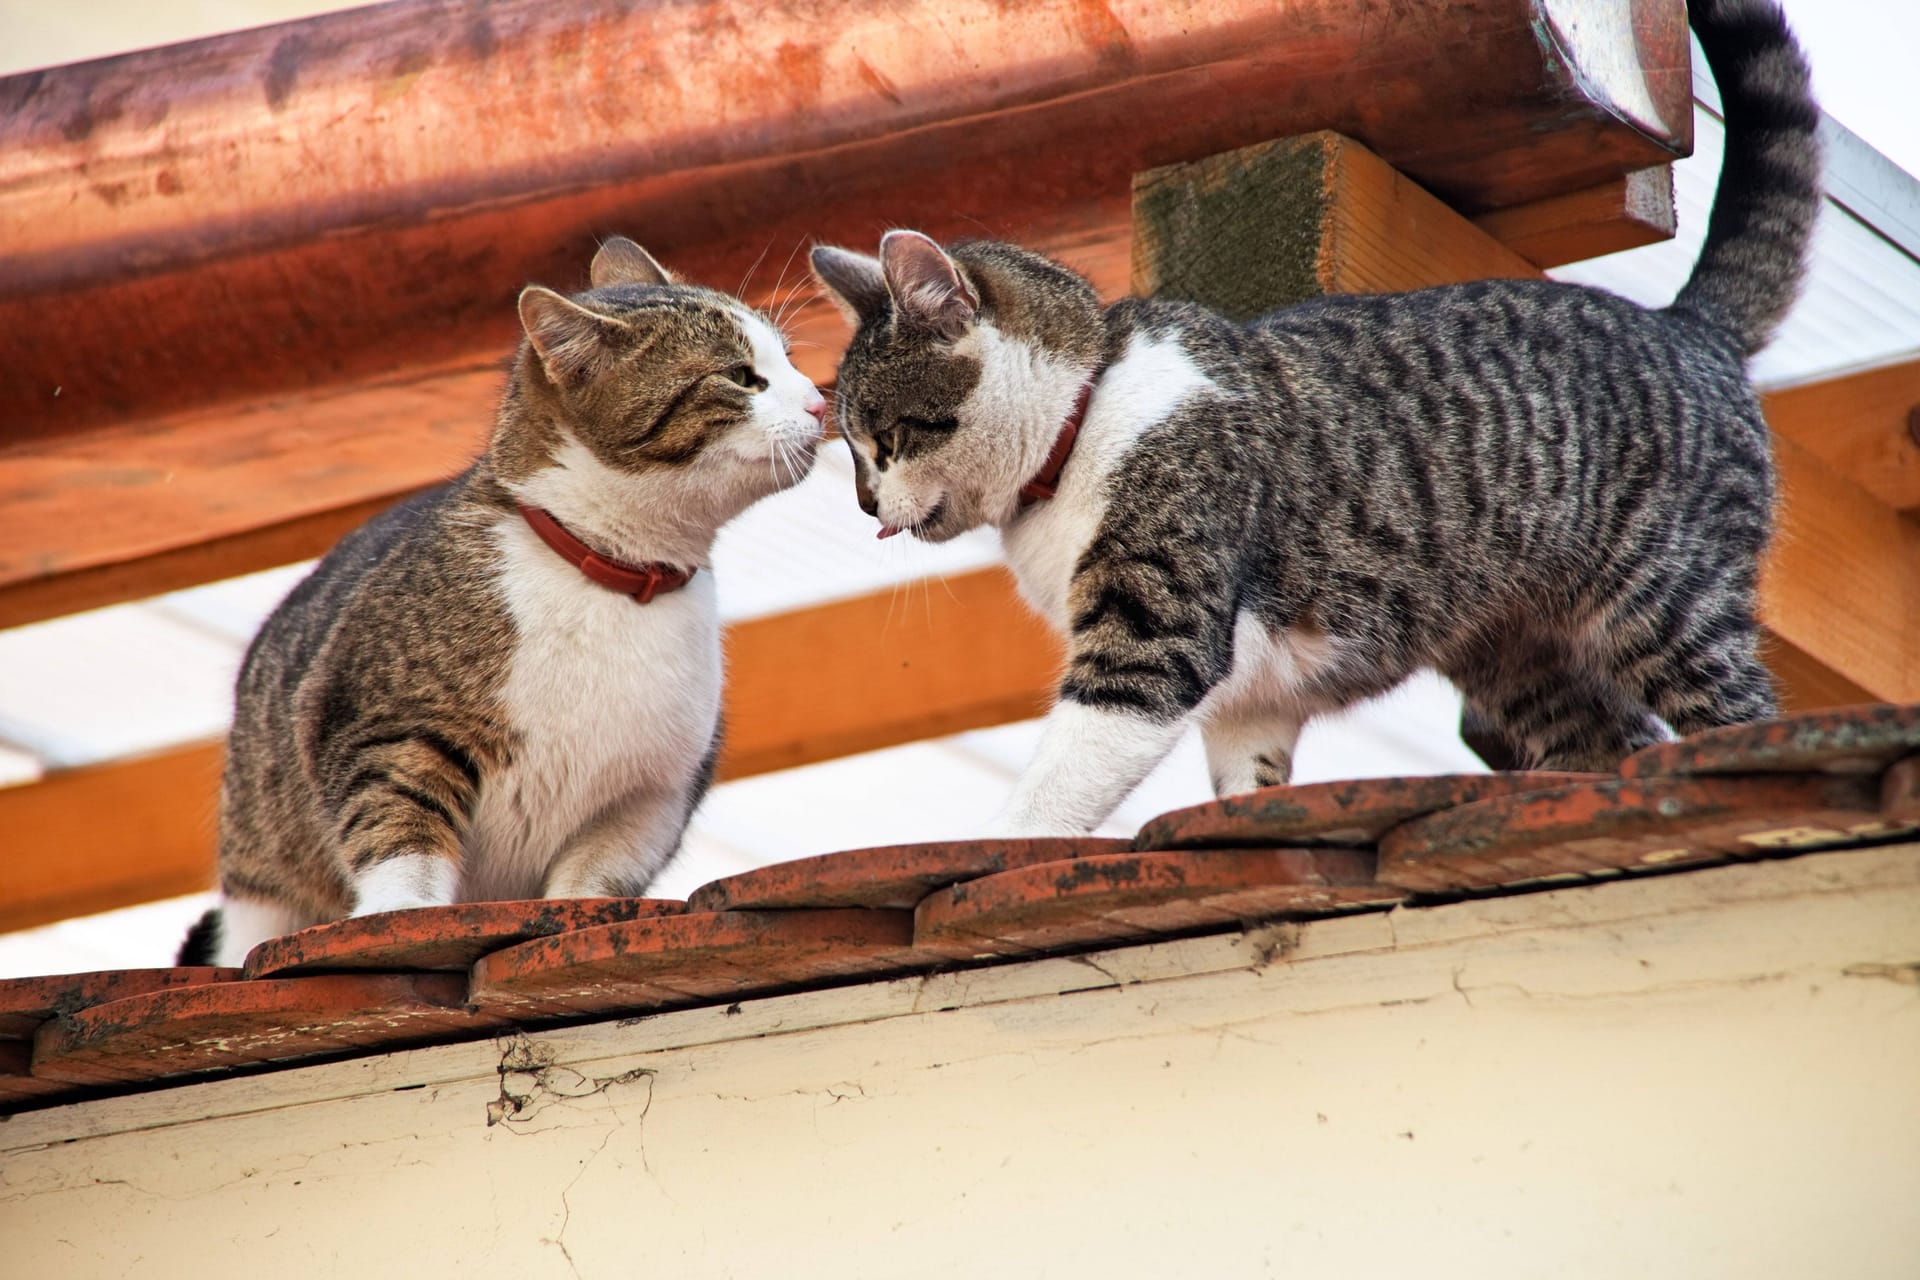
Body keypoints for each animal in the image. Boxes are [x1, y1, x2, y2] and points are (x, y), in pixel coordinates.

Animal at [181, 237, 833, 959]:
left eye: (788, 359)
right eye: (743, 377)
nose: (820, 402)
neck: (615, 576)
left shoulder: (650, 794)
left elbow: (595, 877)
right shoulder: (390, 728)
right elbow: (400, 831)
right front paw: (401, 909)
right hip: (258, 868)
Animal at [806, 0, 1812, 840]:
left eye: (882, 441)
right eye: (848, 449)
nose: (861, 505)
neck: (1088, 414)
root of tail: (1687, 326)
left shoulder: (1156, 621)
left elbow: (1067, 766)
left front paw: (1003, 836)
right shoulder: (1250, 695)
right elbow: (1246, 773)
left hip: (1668, 601)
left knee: (1740, 711)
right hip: (1523, 658)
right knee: (1611, 739)